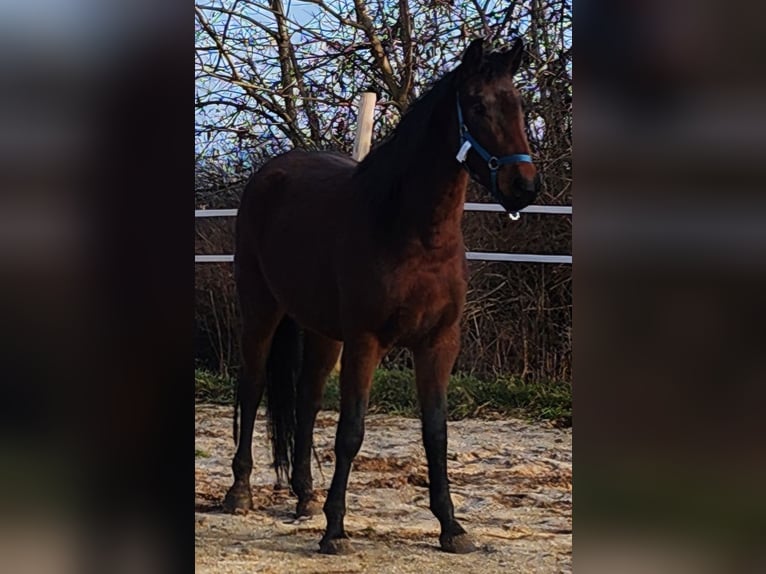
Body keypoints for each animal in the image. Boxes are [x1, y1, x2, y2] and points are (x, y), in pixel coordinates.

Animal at [225, 37, 544, 560]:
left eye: (518, 106)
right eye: (477, 105)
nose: (524, 186)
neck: (415, 233)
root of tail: (271, 171)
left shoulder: (439, 343)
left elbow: (436, 433)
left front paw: (451, 527)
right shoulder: (366, 341)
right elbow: (351, 432)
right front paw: (335, 531)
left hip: (321, 330)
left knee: (307, 399)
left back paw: (305, 497)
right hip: (261, 309)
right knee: (251, 388)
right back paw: (240, 493)